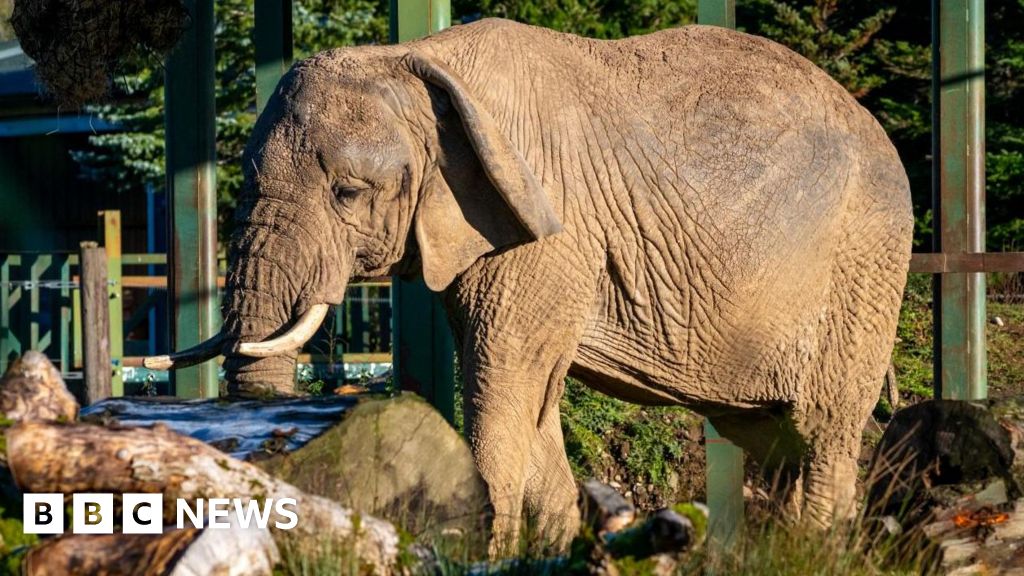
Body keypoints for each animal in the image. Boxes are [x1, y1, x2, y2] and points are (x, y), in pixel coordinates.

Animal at [146, 18, 913, 547]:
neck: (416, 57)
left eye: (349, 192)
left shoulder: (548, 231)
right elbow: (531, 398)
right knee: (776, 436)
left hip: (864, 259)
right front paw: (551, 547)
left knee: (821, 430)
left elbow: (504, 377)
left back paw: (815, 548)